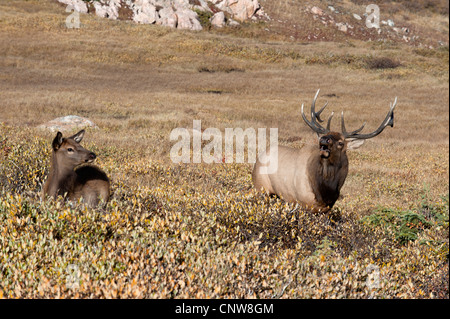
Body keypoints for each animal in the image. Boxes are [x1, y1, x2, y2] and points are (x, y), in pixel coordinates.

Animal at [253, 90, 398, 214]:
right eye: (325, 135)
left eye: (341, 143)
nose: (323, 139)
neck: (326, 191)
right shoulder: (302, 202)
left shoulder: (327, 208)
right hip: (261, 188)